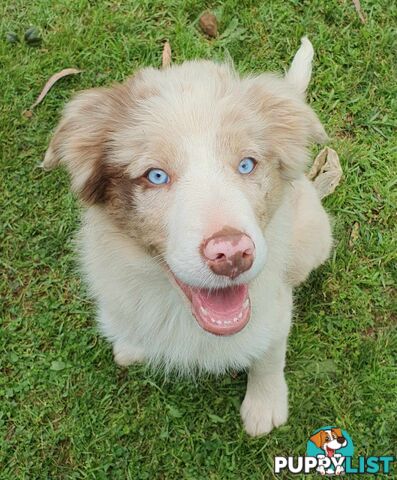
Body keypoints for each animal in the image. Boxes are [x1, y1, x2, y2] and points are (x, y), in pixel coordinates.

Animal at [42, 37, 332, 436]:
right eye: (156, 176)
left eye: (246, 164)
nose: (232, 254)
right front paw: (131, 344)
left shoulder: (275, 307)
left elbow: (269, 354)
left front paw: (265, 404)